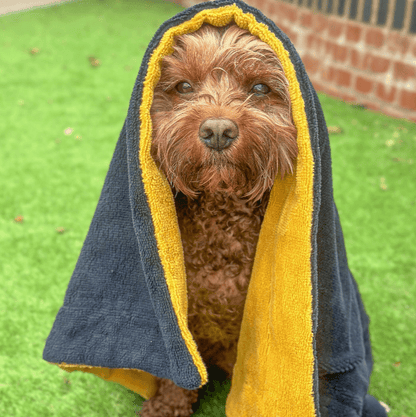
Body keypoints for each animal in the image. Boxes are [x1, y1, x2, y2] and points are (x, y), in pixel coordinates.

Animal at [141, 23, 298, 416]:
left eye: (260, 88)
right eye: (184, 87)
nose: (217, 130)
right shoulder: (179, 320)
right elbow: (179, 373)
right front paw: (167, 406)